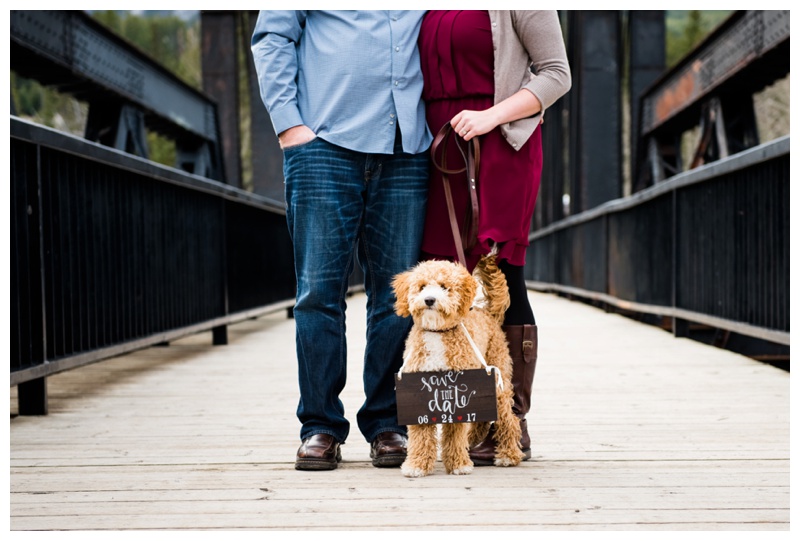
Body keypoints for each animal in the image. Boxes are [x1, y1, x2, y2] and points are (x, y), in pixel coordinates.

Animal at [392, 255, 524, 474]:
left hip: (497, 382)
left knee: (508, 419)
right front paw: (417, 465)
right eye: (422, 286)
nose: (429, 300)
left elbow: (454, 433)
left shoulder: (455, 397)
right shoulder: (420, 396)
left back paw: (508, 455)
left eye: (444, 287)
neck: (437, 332)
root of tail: (487, 313)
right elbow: (420, 434)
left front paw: (458, 464)